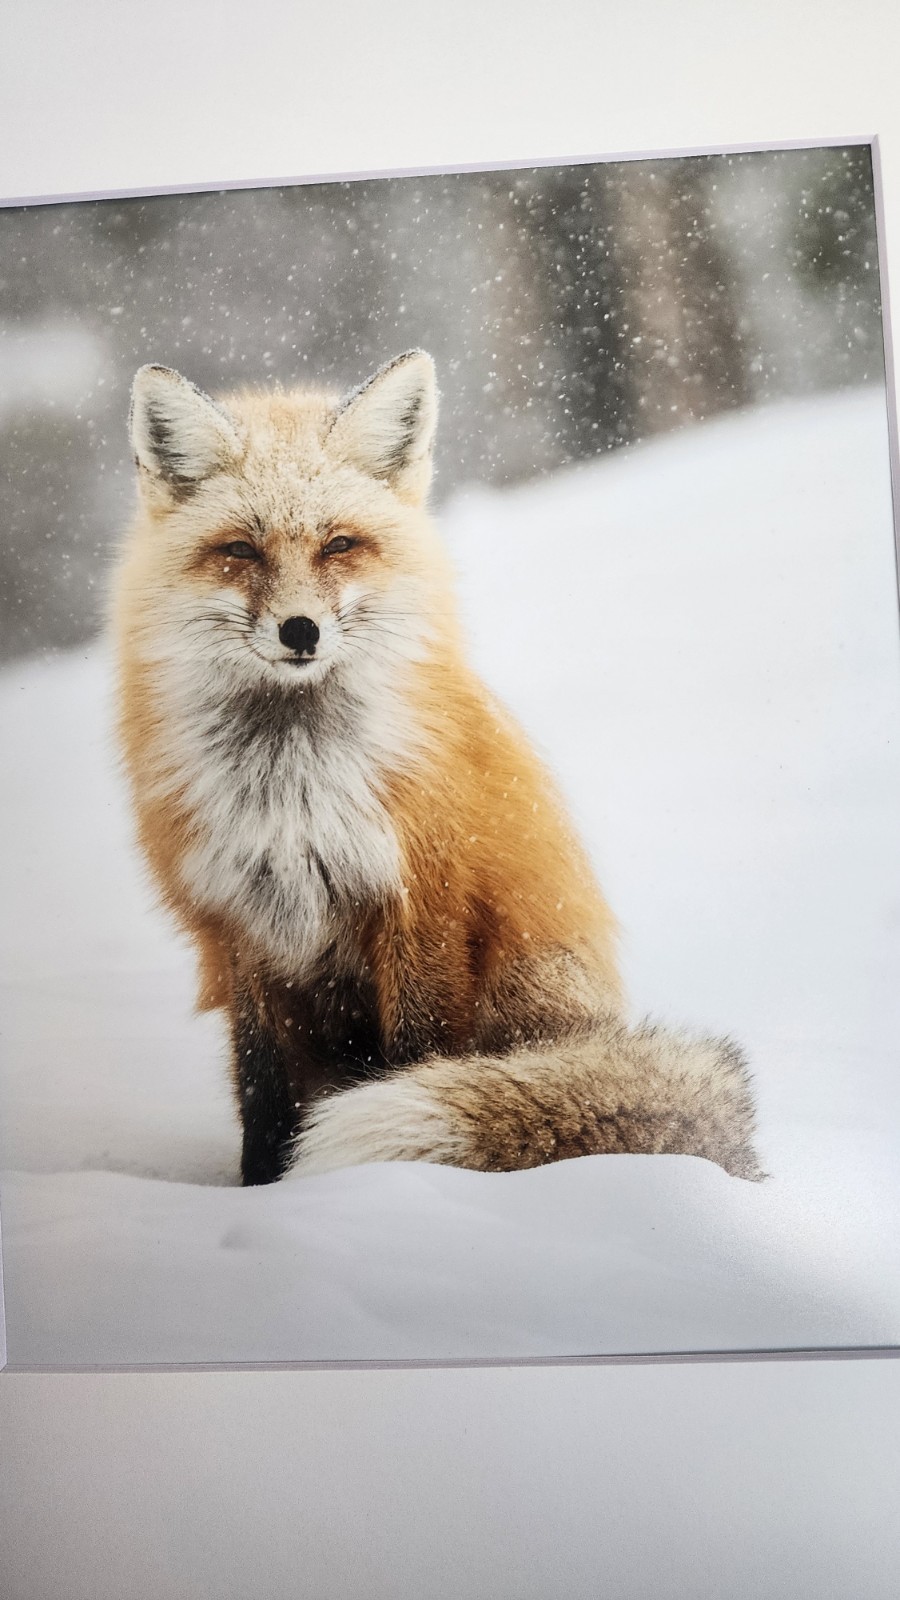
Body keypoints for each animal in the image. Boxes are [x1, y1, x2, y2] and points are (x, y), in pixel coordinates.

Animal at [113, 350, 762, 1187]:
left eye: (339, 545)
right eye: (241, 551)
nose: (300, 630)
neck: (294, 790)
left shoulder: (423, 905)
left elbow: (415, 1055)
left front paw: (395, 1193)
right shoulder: (239, 925)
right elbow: (261, 1087)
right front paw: (261, 1193)